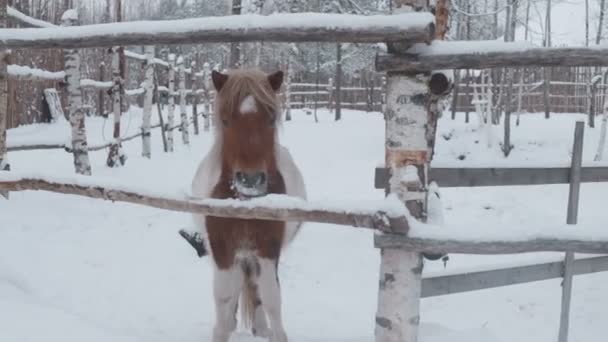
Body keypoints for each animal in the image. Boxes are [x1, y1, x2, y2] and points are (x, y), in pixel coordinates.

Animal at [191, 67, 306, 342]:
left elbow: (272, 299)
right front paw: (225, 327)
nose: (250, 180)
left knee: (256, 288)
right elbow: (224, 304)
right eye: (224, 120)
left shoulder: (268, 250)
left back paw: (260, 327)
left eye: (272, 118)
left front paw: (273, 332)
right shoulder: (222, 251)